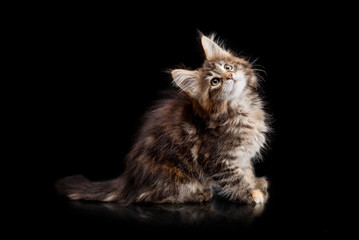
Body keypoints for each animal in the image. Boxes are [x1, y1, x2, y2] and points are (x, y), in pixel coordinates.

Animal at [55, 33, 270, 205]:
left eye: (227, 66)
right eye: (215, 81)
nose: (230, 76)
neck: (241, 107)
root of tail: (128, 180)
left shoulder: (242, 156)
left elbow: (246, 171)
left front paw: (255, 184)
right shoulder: (217, 159)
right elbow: (235, 179)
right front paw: (252, 194)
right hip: (174, 174)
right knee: (149, 197)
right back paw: (196, 194)